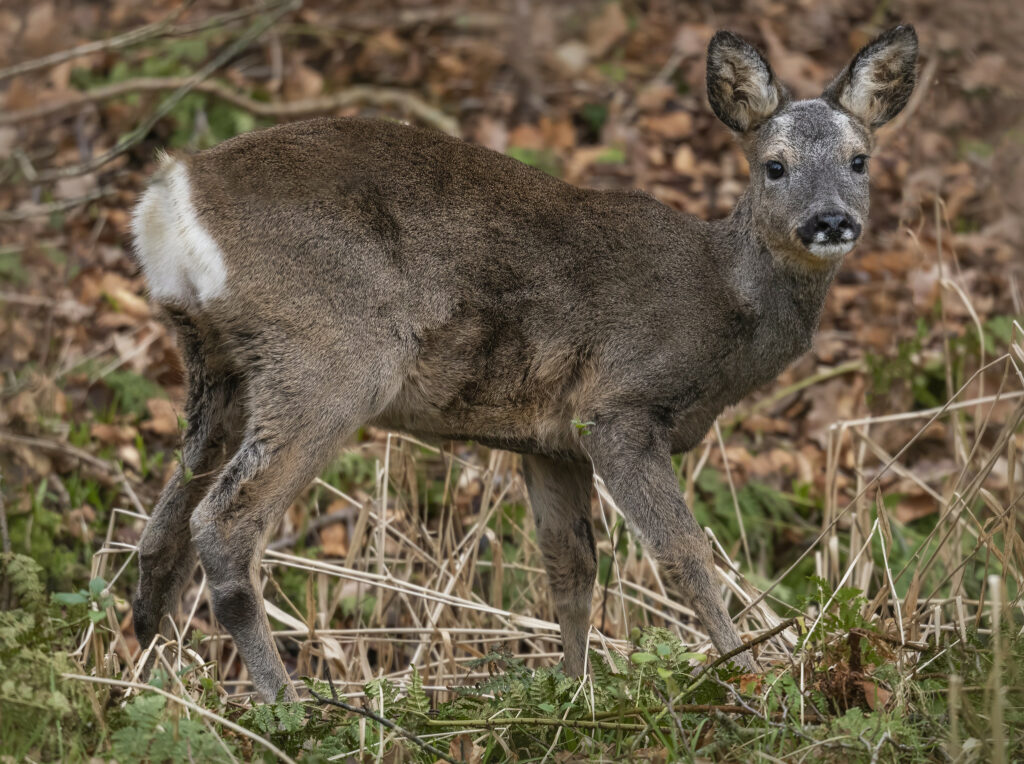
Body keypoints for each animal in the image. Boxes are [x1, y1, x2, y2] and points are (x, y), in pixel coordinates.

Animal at [128, 25, 921, 700]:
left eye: (859, 160)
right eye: (774, 166)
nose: (830, 221)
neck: (724, 305)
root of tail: (170, 196)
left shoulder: (549, 441)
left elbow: (570, 572)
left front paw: (576, 693)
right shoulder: (618, 407)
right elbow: (684, 556)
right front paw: (749, 673)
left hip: (219, 369)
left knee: (162, 530)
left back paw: (151, 689)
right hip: (331, 355)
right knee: (223, 524)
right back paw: (286, 706)